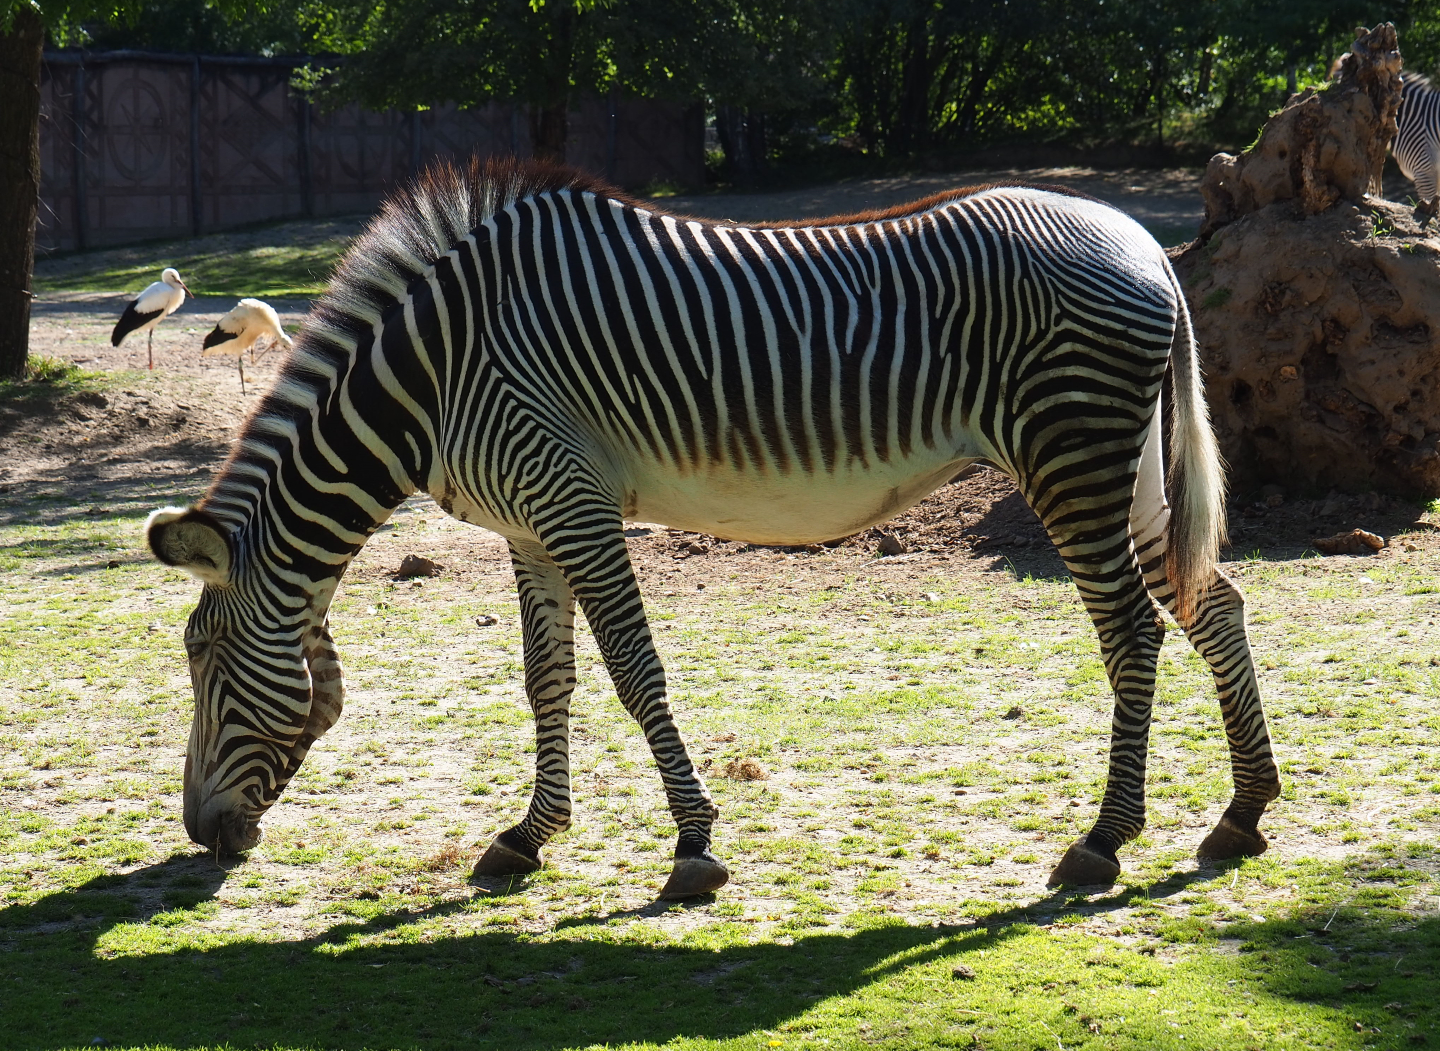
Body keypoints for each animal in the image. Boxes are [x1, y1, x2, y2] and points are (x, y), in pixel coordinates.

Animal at [146, 158, 1280, 896]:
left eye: (201, 659)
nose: (203, 839)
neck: (434, 375)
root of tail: (1144, 244)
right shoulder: (527, 526)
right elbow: (546, 678)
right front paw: (528, 835)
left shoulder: (573, 503)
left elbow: (634, 670)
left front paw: (692, 844)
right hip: (1126, 468)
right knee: (1214, 605)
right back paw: (1240, 815)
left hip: (1069, 454)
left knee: (1133, 633)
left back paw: (1104, 841)